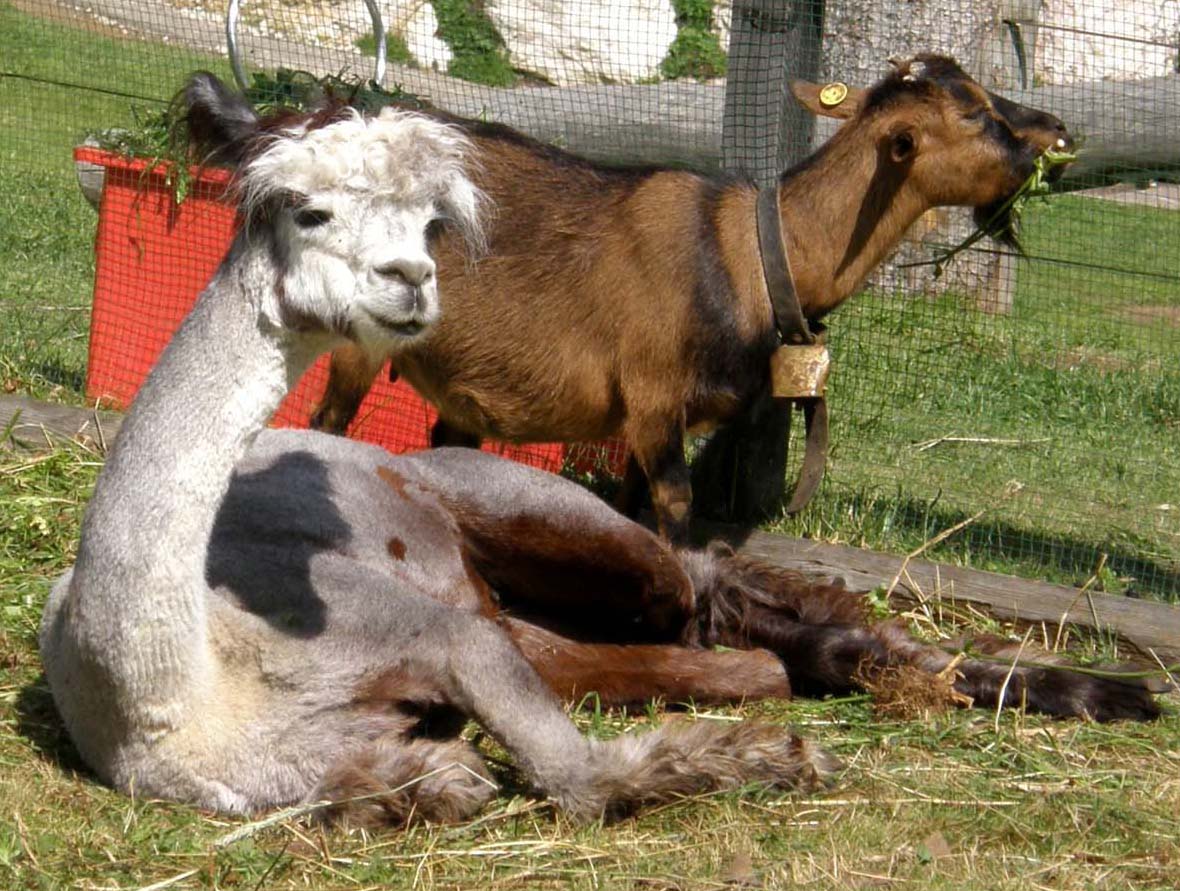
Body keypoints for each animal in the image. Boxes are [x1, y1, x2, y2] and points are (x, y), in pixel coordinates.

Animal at [311, 59, 1071, 542]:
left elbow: (628, 507)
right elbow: (675, 502)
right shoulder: (652, 396)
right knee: (325, 423)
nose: (1057, 132)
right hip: (356, 341)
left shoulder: (648, 419)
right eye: (974, 111)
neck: (753, 256)